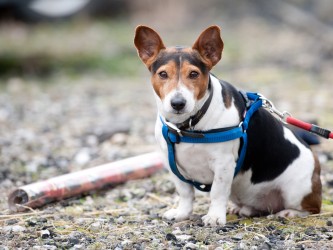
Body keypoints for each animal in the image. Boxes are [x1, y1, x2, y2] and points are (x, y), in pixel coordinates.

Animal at [134, 25, 320, 227]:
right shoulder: (173, 165)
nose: (178, 103)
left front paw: (215, 216)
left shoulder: (223, 164)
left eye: (193, 74)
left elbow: (217, 192)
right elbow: (185, 193)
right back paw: (244, 209)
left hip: (297, 190)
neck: (189, 124)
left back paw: (289, 213)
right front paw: (182, 213)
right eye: (163, 74)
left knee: (311, 209)